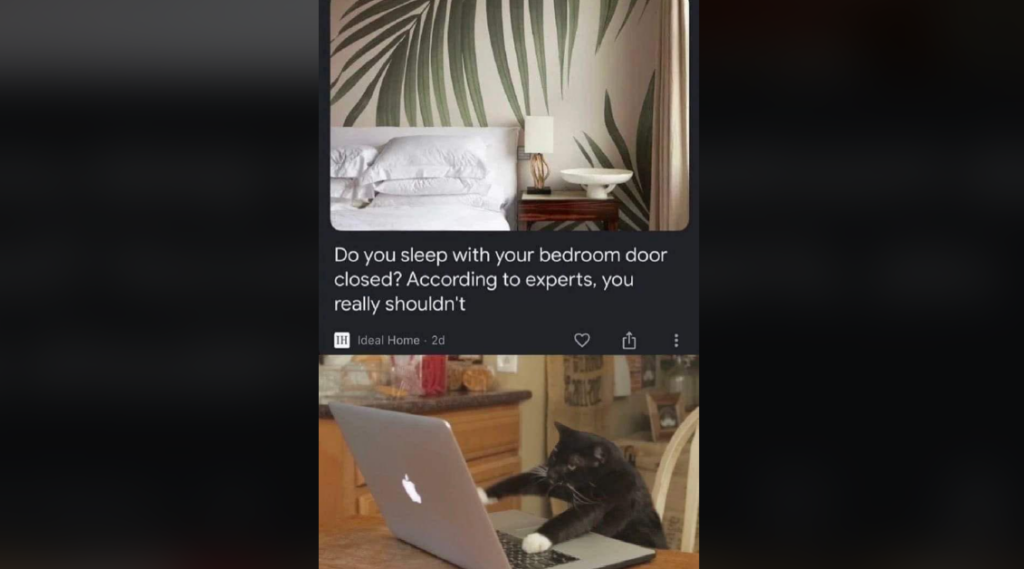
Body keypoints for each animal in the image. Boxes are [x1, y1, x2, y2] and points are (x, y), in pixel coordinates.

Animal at [481, 421, 671, 552]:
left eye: (572, 465)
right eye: (554, 455)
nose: (552, 474)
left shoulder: (603, 499)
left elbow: (570, 519)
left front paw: (536, 539)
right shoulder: (557, 483)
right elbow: (522, 480)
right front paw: (482, 494)